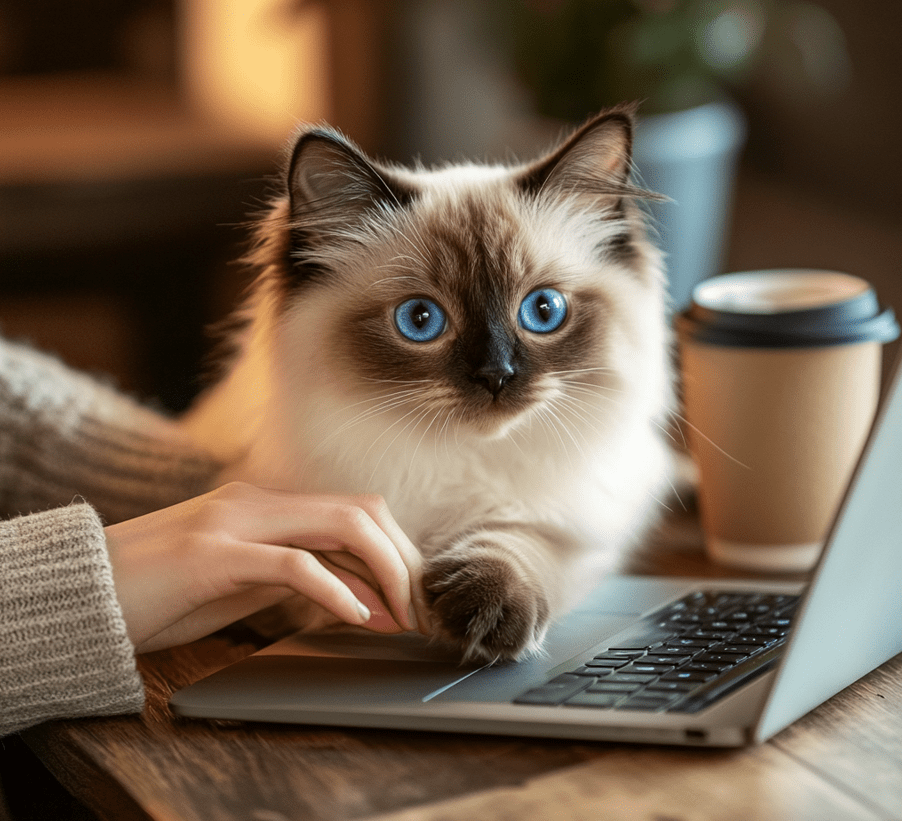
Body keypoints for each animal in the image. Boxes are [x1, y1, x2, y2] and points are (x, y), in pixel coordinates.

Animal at [184, 105, 680, 664]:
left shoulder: (581, 539)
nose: (496, 376)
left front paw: (481, 610)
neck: (451, 460)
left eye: (543, 310)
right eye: (420, 319)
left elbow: (519, 541)